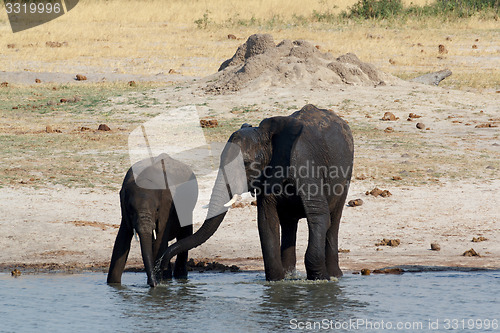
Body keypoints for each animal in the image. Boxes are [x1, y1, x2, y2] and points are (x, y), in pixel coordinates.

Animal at [106, 153, 196, 286]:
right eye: (131, 211)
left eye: (157, 209)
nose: (153, 284)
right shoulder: (125, 211)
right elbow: (121, 242)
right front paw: (113, 285)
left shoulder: (167, 206)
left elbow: (160, 240)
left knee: (183, 233)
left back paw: (178, 277)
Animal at [158, 104, 354, 280]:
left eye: (245, 164)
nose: (162, 266)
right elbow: (267, 221)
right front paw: (277, 282)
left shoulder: (305, 165)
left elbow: (318, 215)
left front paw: (320, 281)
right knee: (289, 223)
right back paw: (291, 276)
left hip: (345, 174)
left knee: (333, 219)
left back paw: (335, 276)